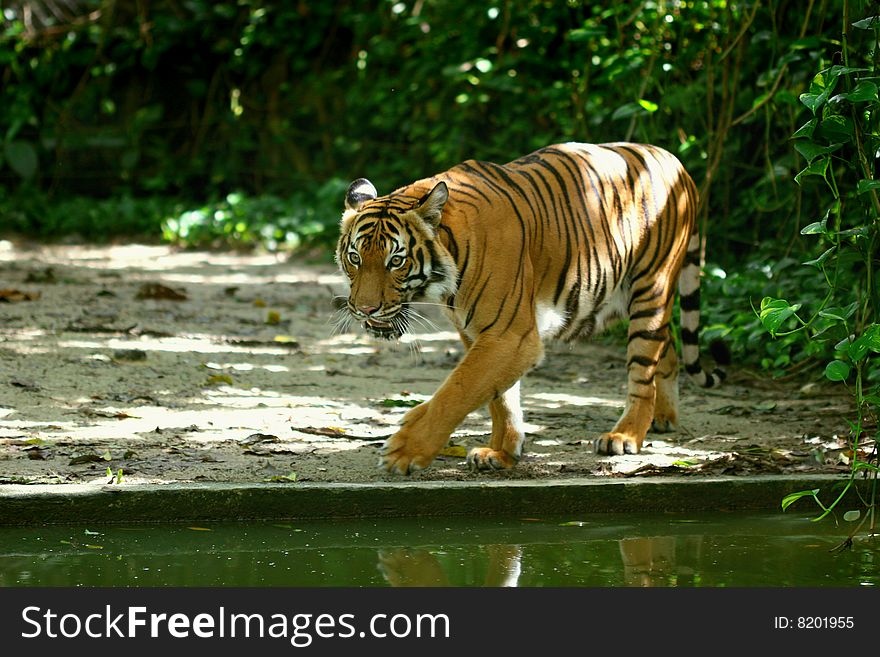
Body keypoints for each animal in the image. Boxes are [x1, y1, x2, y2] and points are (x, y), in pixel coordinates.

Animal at [336, 142, 720, 472]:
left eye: (396, 261)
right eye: (355, 258)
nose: (365, 309)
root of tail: (675, 163)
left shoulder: (510, 334)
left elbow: (458, 389)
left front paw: (405, 449)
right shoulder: (479, 333)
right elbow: (500, 397)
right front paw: (502, 452)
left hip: (650, 287)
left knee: (643, 368)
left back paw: (624, 436)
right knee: (666, 347)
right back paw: (663, 417)